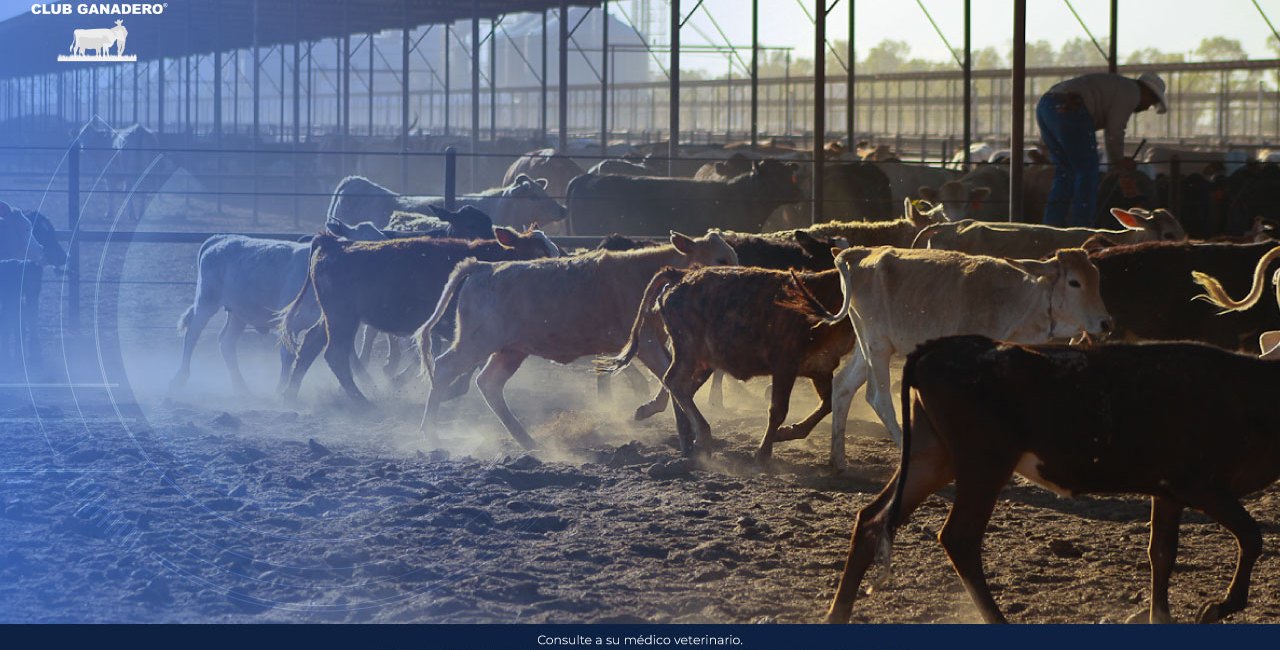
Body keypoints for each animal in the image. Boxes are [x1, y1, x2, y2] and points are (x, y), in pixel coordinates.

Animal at [819, 244, 1111, 468]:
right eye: (1074, 282)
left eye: (1097, 278)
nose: (1106, 322)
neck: (1017, 302)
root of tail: (860, 252)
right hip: (877, 346)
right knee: (878, 397)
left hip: (867, 346)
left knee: (843, 386)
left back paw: (838, 460)